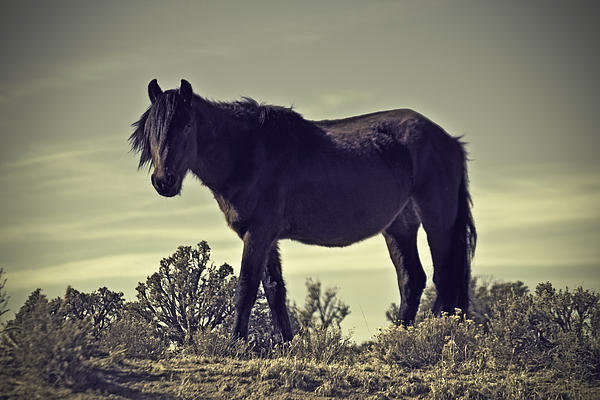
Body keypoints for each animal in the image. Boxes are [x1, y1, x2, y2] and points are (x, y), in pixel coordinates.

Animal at [129, 79, 476, 340]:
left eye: (187, 125)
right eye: (150, 129)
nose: (164, 181)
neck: (249, 152)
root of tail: (449, 141)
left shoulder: (259, 232)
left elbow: (246, 286)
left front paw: (235, 343)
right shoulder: (264, 237)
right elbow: (273, 290)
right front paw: (288, 343)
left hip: (437, 219)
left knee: (444, 277)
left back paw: (437, 334)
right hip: (399, 226)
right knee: (412, 280)